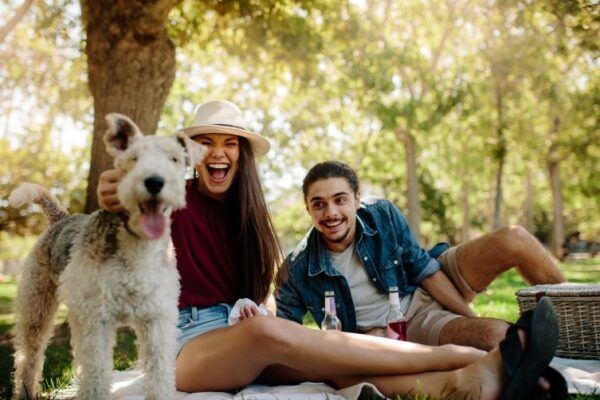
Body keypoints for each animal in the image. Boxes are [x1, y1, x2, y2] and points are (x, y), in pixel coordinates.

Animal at [8, 113, 204, 400]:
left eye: (175, 159)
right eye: (133, 158)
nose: (155, 182)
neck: (136, 249)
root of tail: (61, 218)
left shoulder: (157, 319)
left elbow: (159, 373)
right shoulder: (95, 320)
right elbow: (97, 376)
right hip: (37, 303)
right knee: (28, 355)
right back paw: (25, 392)